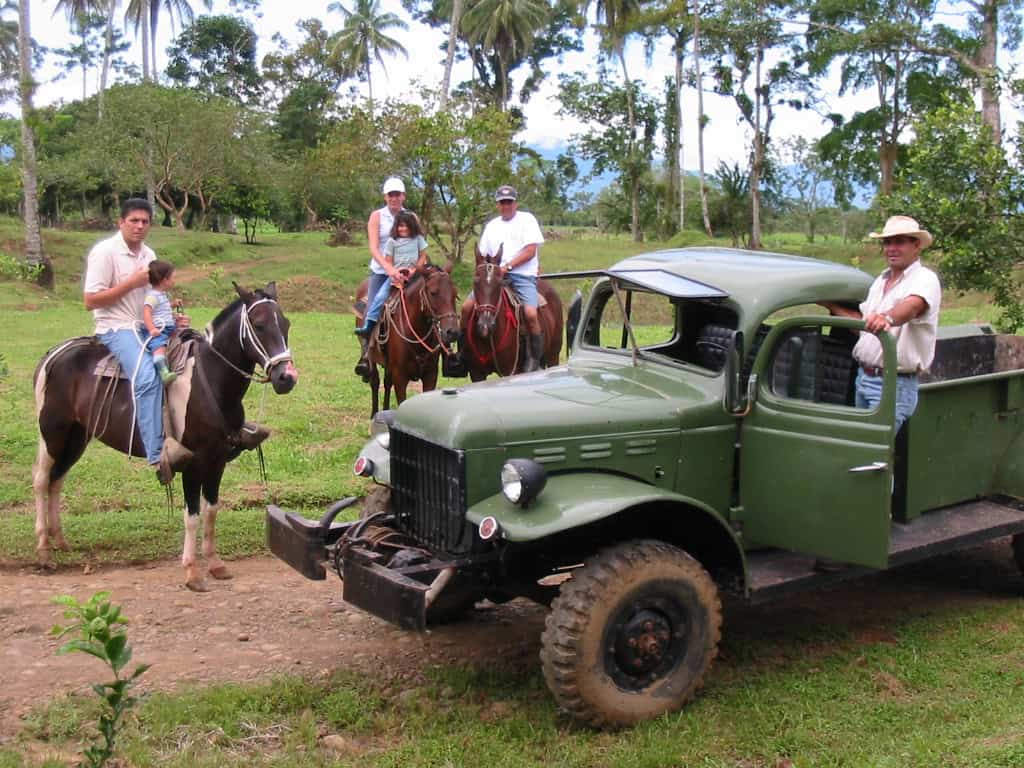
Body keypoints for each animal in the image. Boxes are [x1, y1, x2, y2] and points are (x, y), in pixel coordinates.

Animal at [356, 266, 460, 421]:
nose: (452, 332)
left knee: (387, 383)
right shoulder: (400, 375)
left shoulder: (430, 374)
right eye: (433, 293)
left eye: (455, 294)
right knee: (375, 381)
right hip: (372, 357)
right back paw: (374, 414)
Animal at [462, 247, 565, 382]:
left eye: (500, 283)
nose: (485, 326)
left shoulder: (511, 370)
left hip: (553, 355)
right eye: (475, 281)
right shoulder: (476, 373)